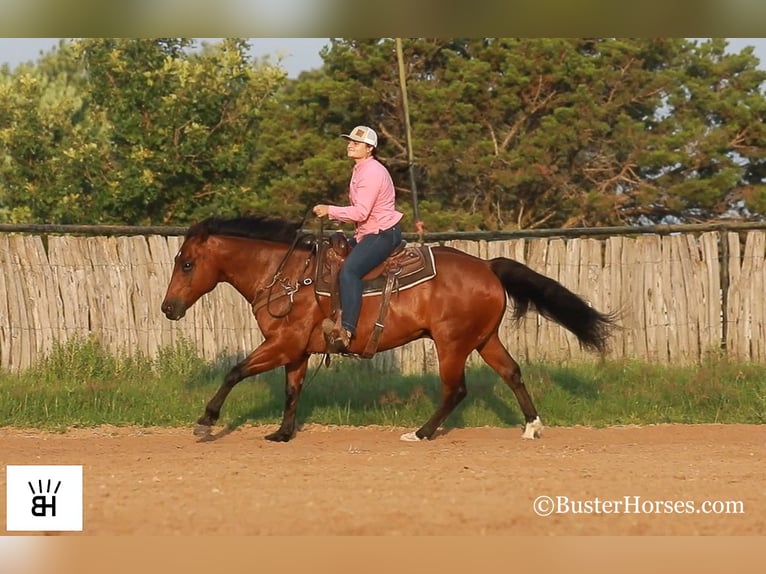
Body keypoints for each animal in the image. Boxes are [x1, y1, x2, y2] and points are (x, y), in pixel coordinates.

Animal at [159, 218, 616, 444]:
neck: (286, 276)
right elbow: (292, 390)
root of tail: (487, 265)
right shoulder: (296, 351)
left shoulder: (281, 343)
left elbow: (235, 371)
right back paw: (532, 426)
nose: (168, 308)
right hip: (485, 340)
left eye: (187, 263)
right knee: (512, 373)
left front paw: (206, 421)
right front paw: (283, 433)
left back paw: (422, 433)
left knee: (456, 389)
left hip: (452, 344)